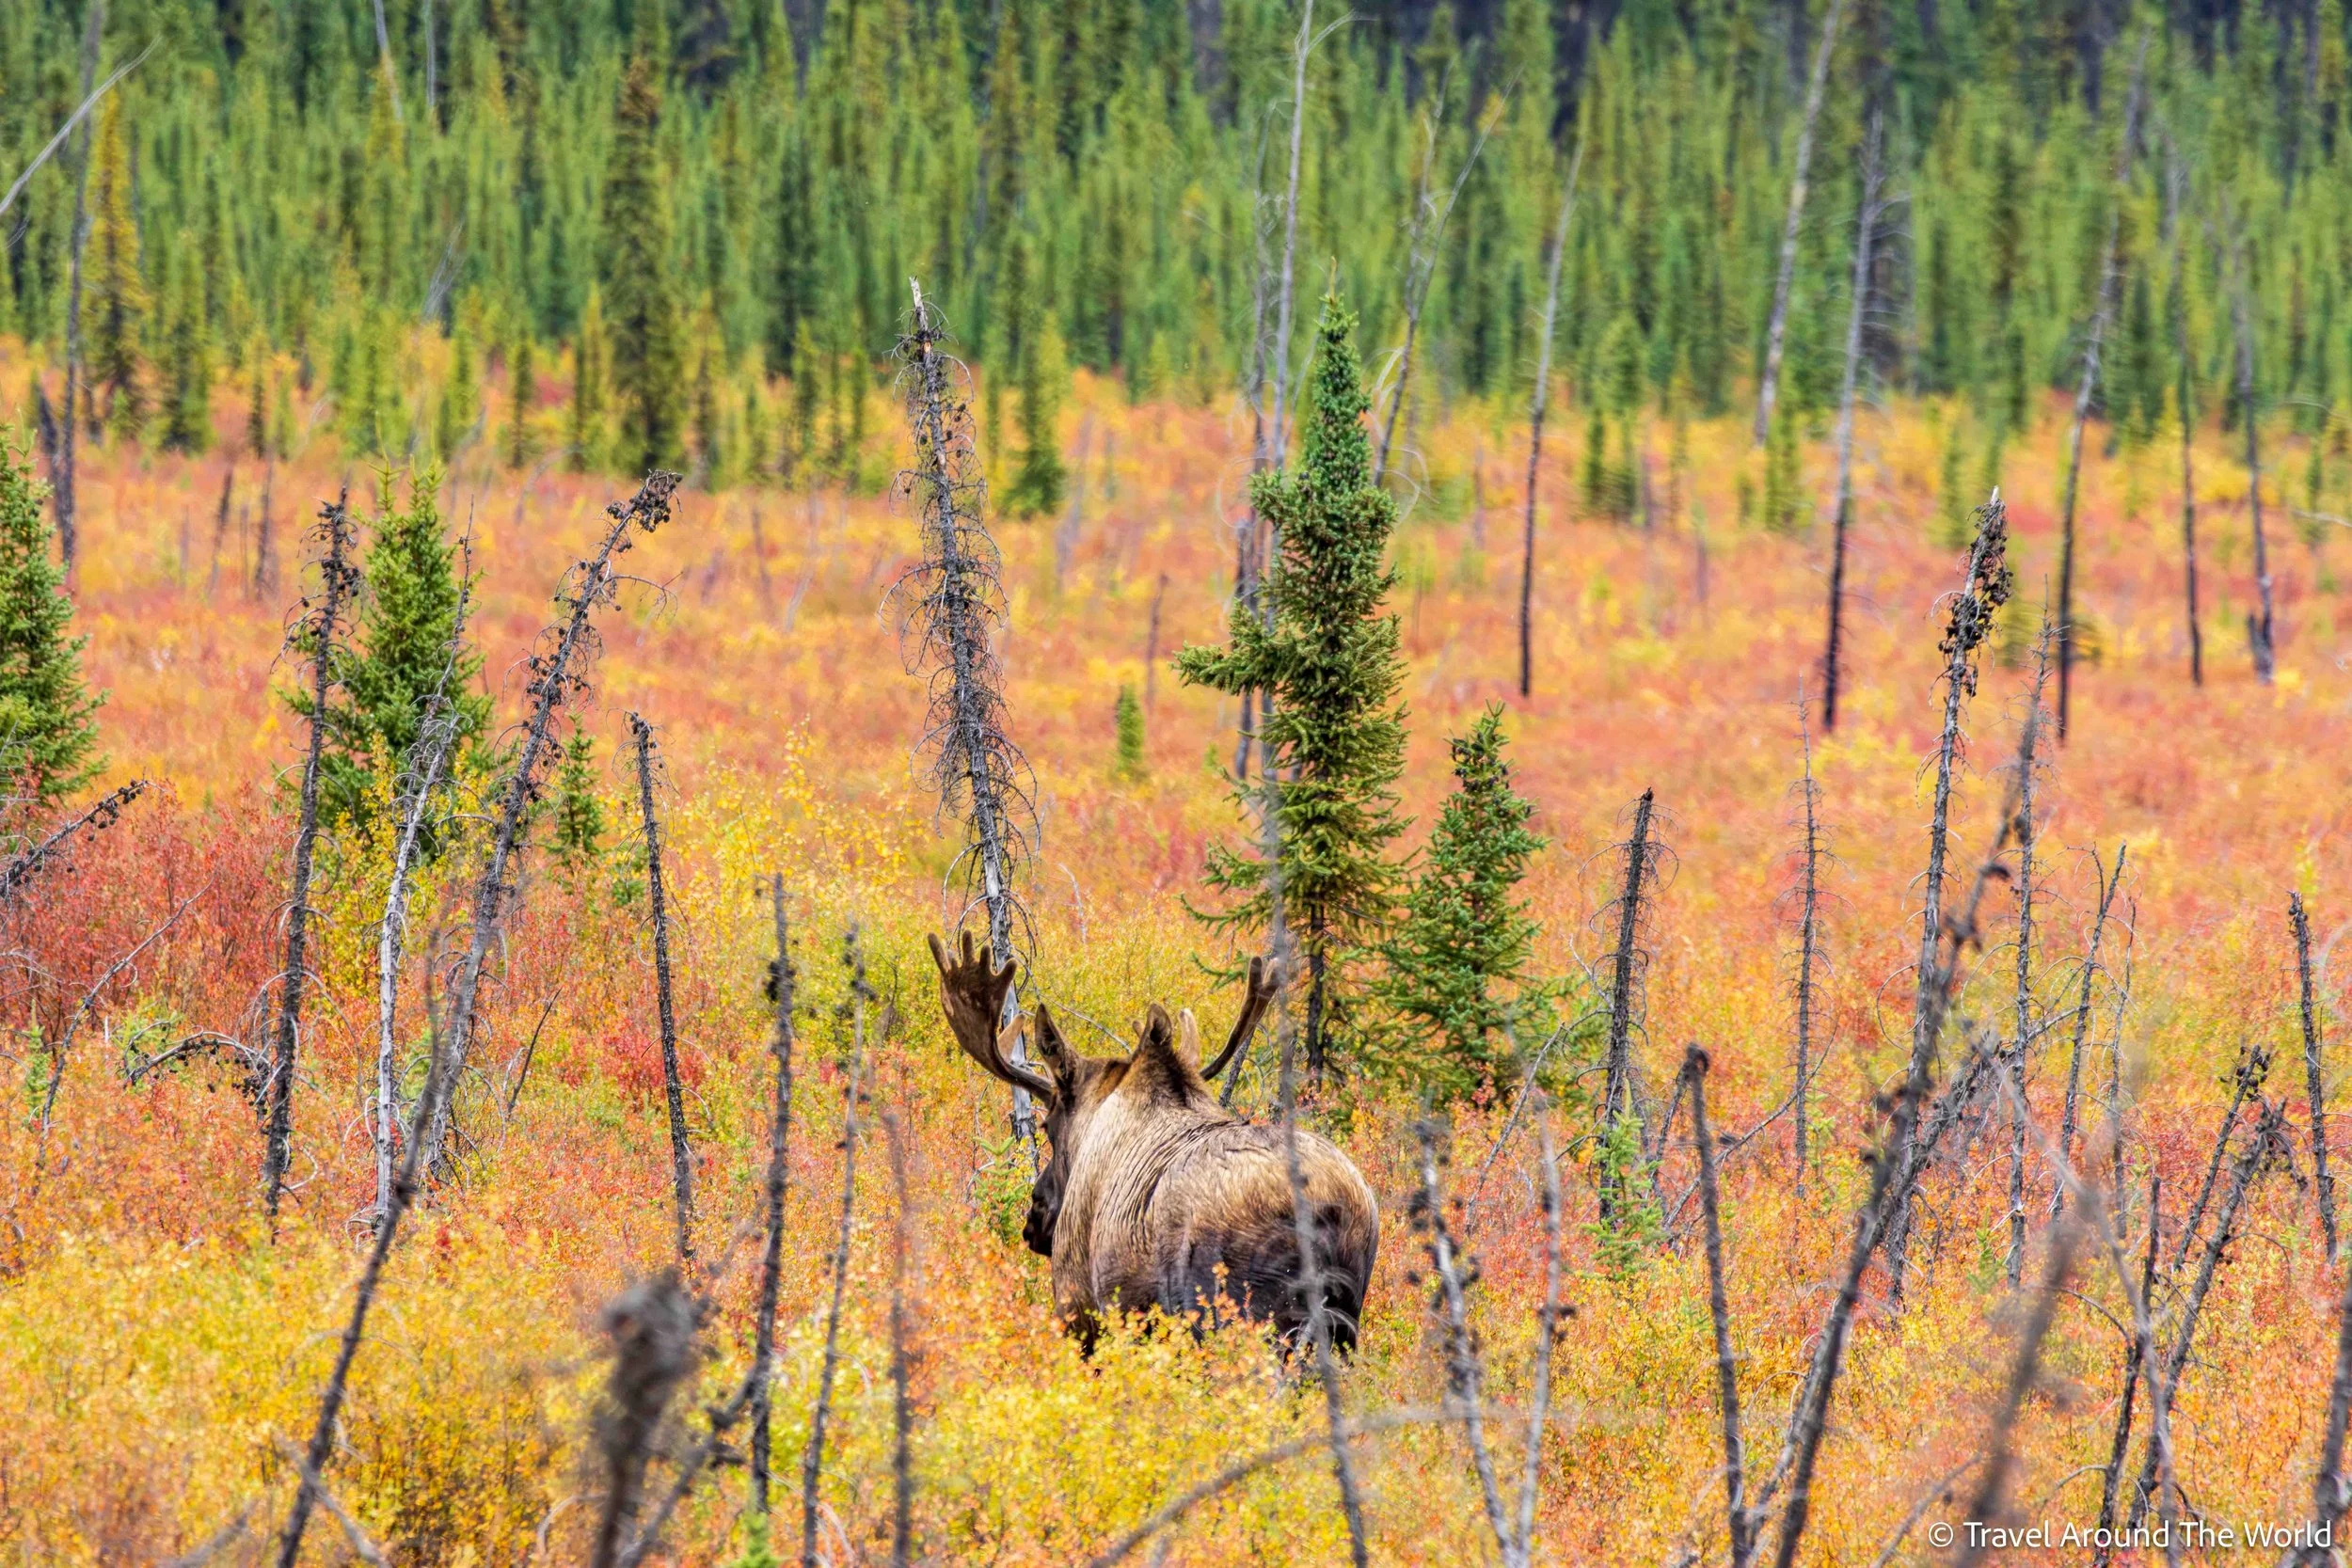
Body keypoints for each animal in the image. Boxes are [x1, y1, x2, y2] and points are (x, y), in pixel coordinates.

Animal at [929, 932, 1380, 1352]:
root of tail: (1326, 1206)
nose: (1034, 1218)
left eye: (1047, 1128)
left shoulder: (1077, 1304)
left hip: (1237, 1315)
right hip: (1344, 1319)